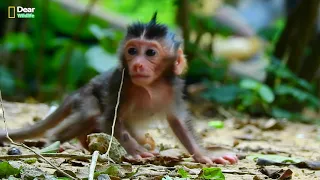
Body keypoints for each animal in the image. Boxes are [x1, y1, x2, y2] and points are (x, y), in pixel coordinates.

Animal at [0, 12, 238, 165]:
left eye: (150, 53)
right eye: (132, 51)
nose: (137, 64)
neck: (150, 86)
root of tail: (80, 89)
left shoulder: (174, 89)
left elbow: (179, 123)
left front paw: (204, 155)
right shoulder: (120, 82)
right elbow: (110, 118)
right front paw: (136, 151)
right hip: (86, 97)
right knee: (90, 112)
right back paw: (55, 141)